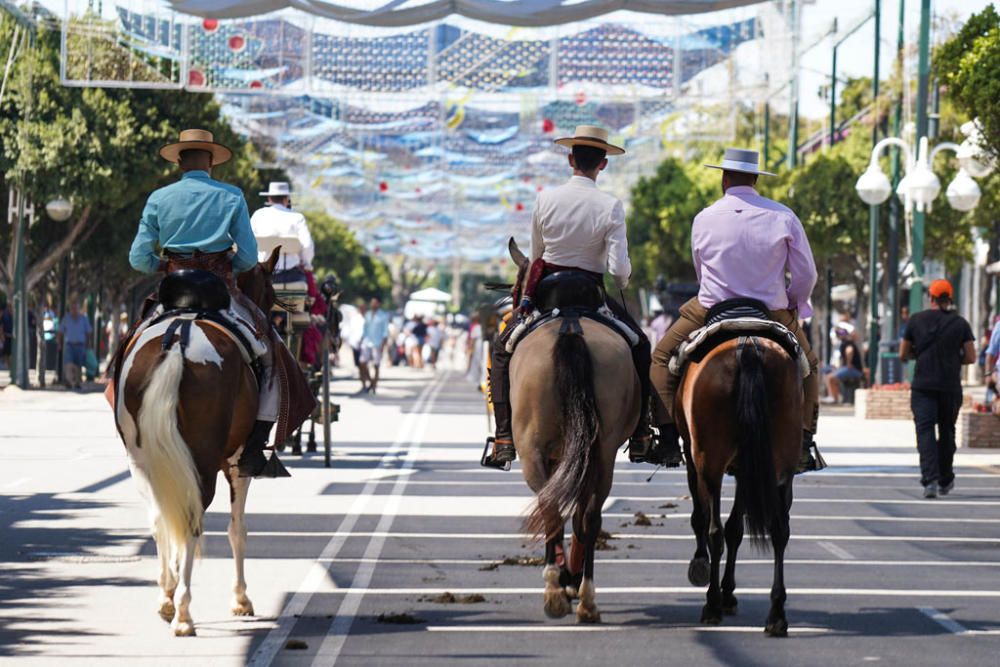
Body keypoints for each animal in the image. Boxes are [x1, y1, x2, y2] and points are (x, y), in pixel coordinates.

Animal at [114, 250, 282, 636]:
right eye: (268, 289)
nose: (269, 320)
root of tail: (179, 336)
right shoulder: (237, 463)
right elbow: (237, 529)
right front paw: (241, 599)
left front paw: (169, 590)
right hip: (203, 462)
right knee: (192, 518)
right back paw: (184, 613)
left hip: (141, 461)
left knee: (159, 518)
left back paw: (167, 598)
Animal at [508, 241, 640, 628]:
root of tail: (570, 327)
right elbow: (580, 514)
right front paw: (572, 578)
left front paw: (564, 578)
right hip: (602, 451)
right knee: (589, 515)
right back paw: (584, 597)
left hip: (534, 451)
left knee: (552, 507)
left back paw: (558, 590)